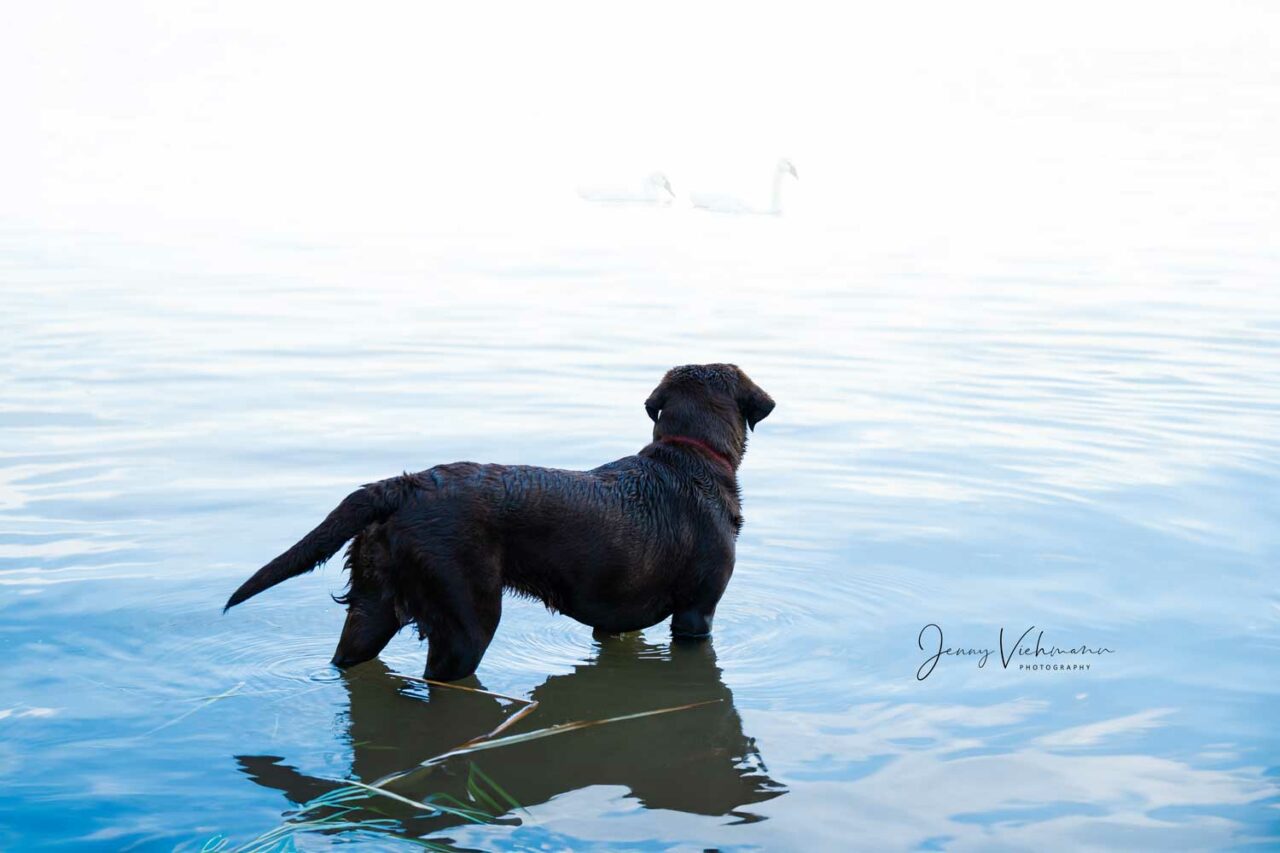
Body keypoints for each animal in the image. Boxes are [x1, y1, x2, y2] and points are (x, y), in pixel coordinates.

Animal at [225, 361, 773, 681]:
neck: (691, 455)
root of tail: (405, 484)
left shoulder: (614, 620)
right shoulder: (696, 613)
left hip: (372, 604)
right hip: (467, 616)